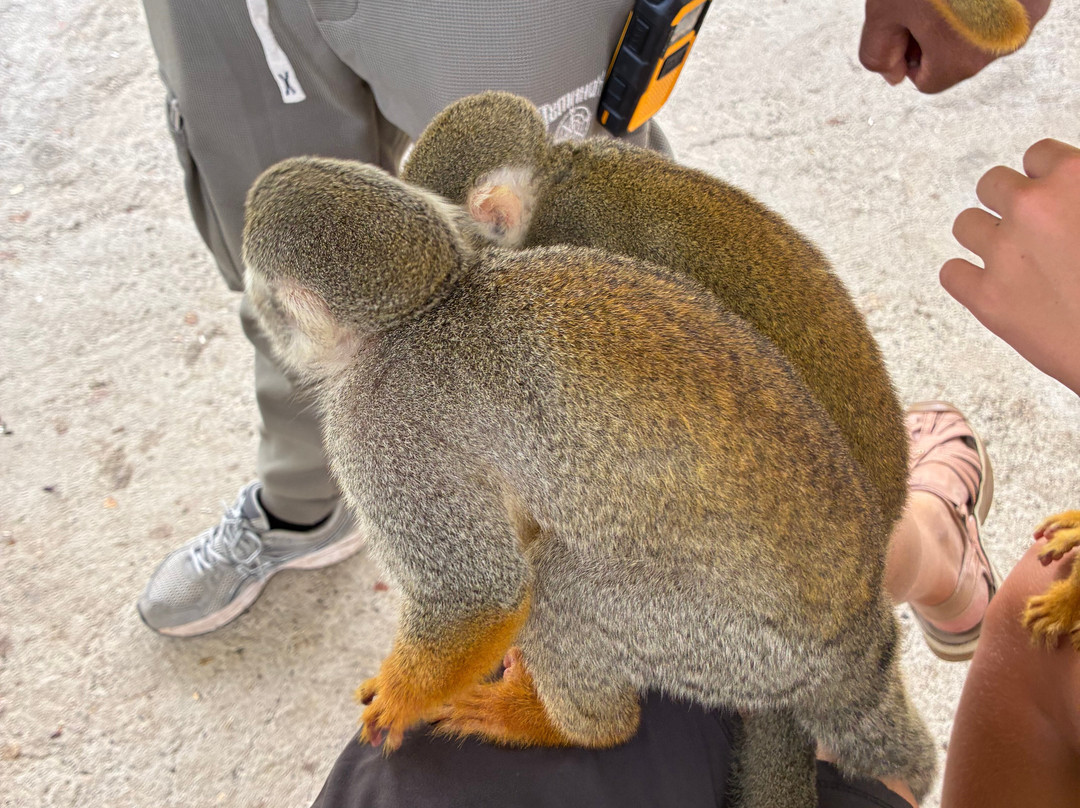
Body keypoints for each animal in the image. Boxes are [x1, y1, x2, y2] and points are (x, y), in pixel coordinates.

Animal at [241, 155, 936, 808]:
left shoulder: (375, 428)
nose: (252, 312)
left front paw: (400, 698)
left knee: (559, 587)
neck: (433, 302)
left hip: (729, 646)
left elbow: (479, 592)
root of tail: (860, 639)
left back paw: (572, 728)